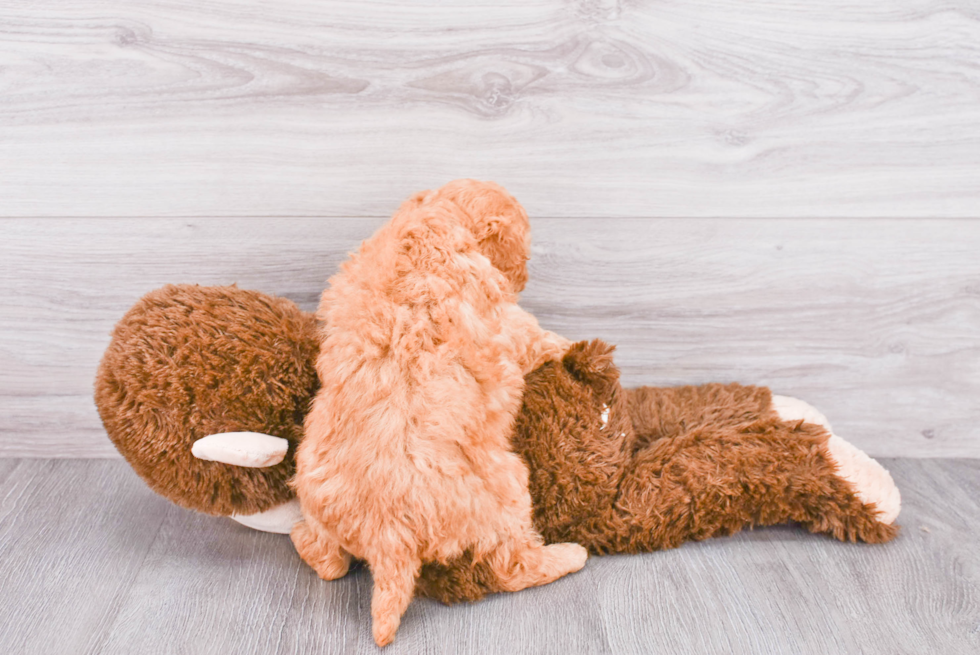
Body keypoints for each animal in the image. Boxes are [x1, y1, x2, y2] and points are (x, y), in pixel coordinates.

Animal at [288, 179, 584, 644]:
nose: (523, 275)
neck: (431, 223)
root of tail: (387, 536)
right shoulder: (506, 320)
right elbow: (537, 337)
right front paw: (571, 346)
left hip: (316, 496)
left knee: (329, 562)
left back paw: (304, 540)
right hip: (508, 494)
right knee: (513, 566)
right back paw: (569, 556)